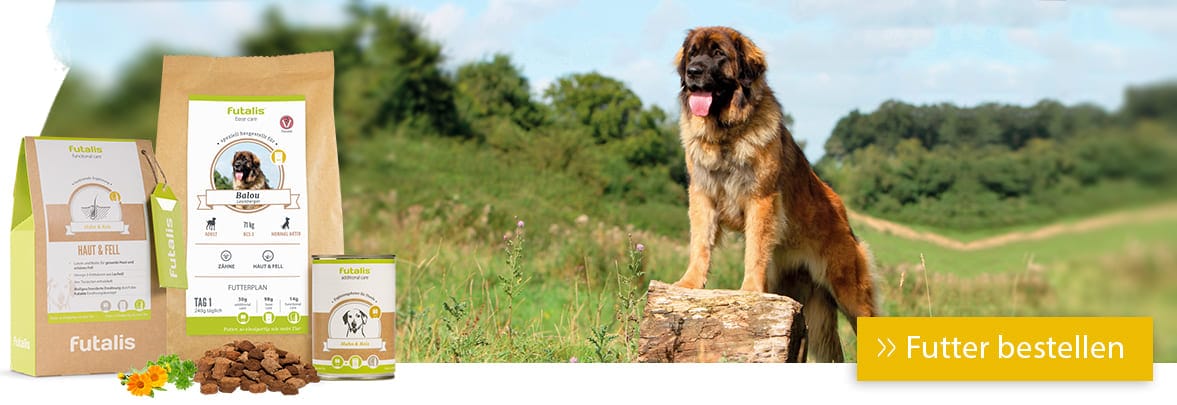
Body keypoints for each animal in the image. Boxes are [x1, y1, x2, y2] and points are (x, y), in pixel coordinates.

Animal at [673, 26, 875, 360]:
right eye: (693, 54)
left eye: (718, 54)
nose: (693, 72)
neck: (727, 134)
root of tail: (842, 211)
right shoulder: (702, 196)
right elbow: (699, 243)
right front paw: (688, 283)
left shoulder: (760, 199)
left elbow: (754, 250)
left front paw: (750, 291)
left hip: (850, 292)